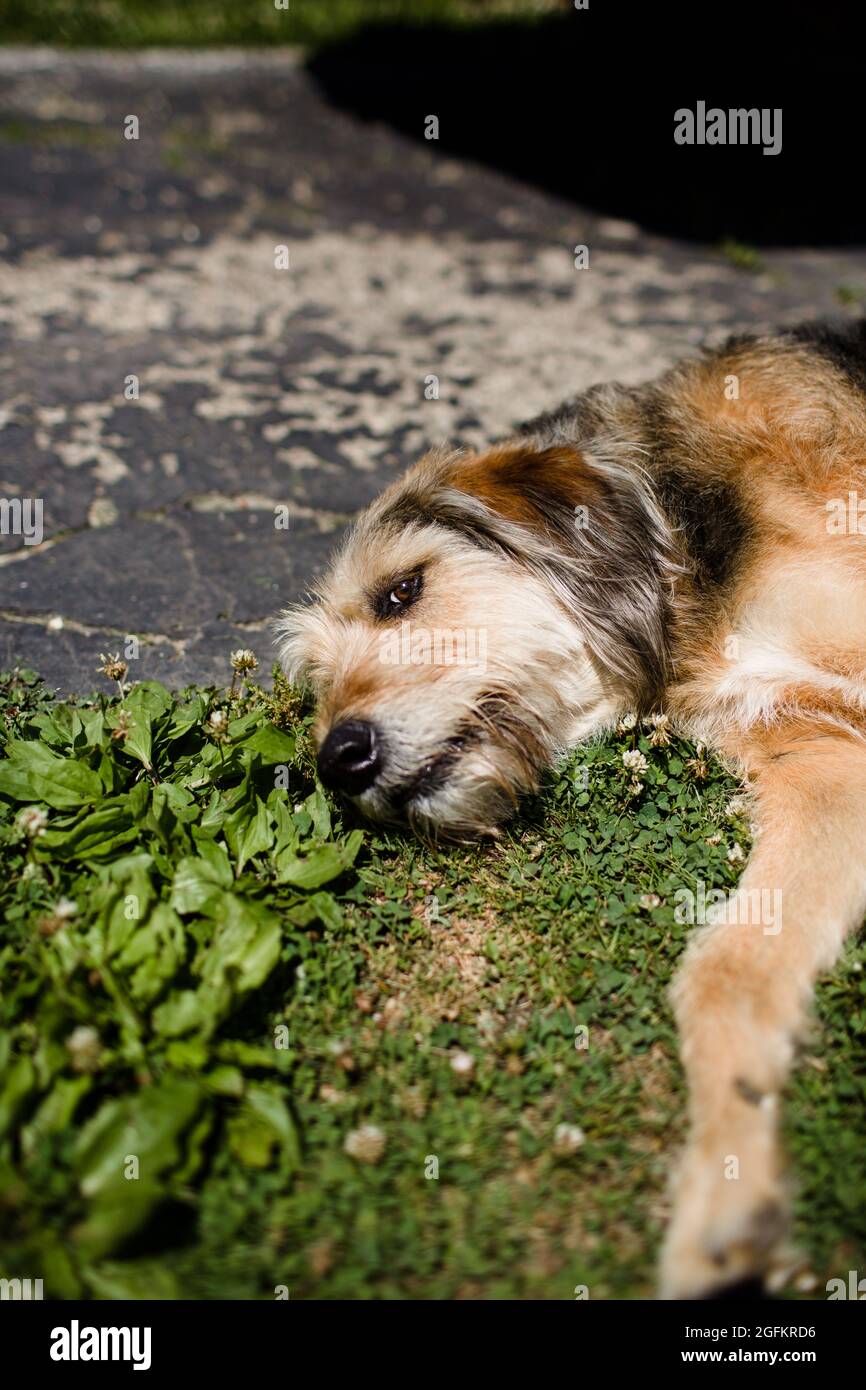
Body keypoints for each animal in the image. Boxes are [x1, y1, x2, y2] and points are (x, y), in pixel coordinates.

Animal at [276, 319, 866, 1295]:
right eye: (318, 679)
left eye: (401, 591)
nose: (339, 761)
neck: (676, 541)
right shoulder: (823, 769)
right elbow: (725, 974)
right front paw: (726, 1197)